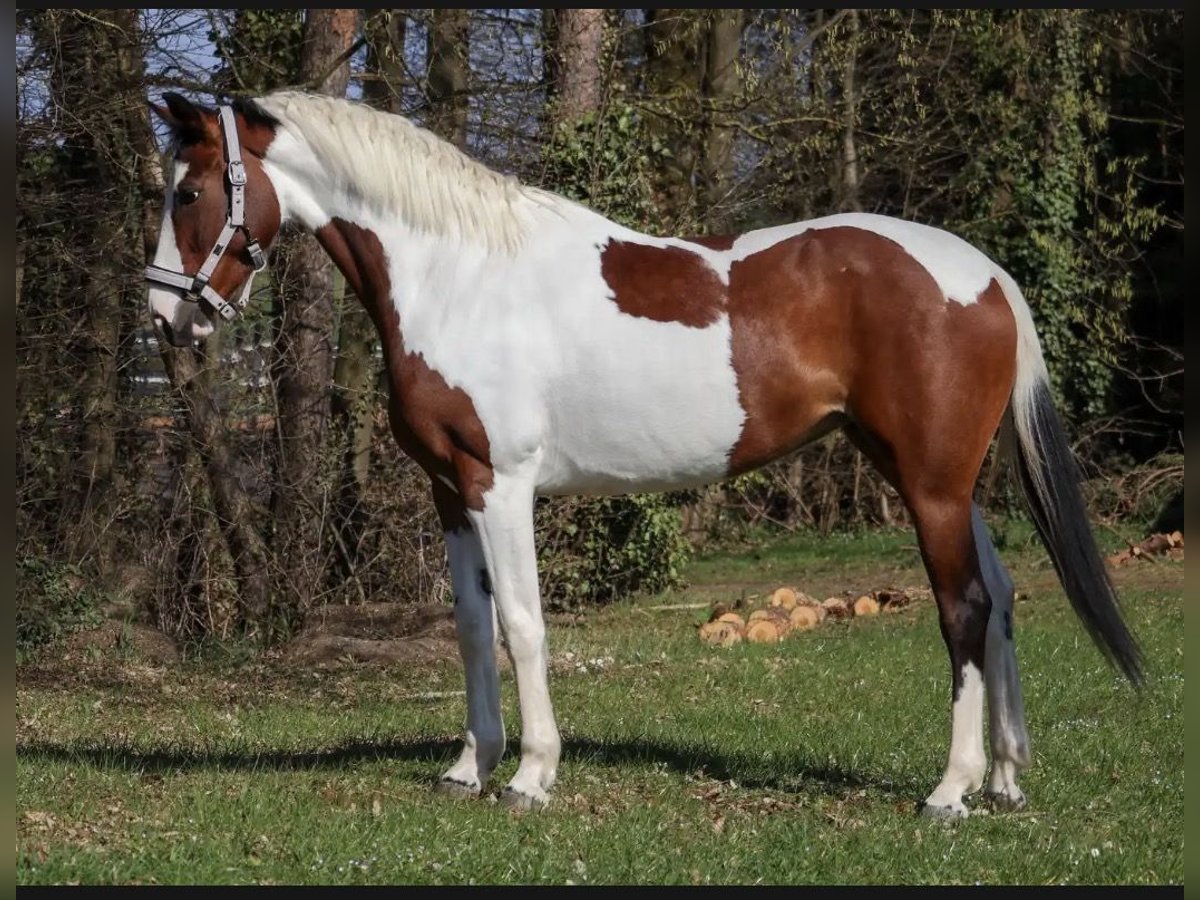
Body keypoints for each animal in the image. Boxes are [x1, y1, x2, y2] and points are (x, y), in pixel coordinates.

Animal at [144, 90, 1143, 818]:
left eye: (188, 192)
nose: (165, 318)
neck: (458, 274)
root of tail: (986, 273)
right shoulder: (451, 491)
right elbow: (470, 626)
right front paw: (469, 768)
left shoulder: (502, 486)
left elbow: (523, 625)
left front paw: (532, 776)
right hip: (939, 479)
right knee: (1002, 598)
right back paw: (1006, 779)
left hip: (930, 485)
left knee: (964, 608)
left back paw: (950, 789)